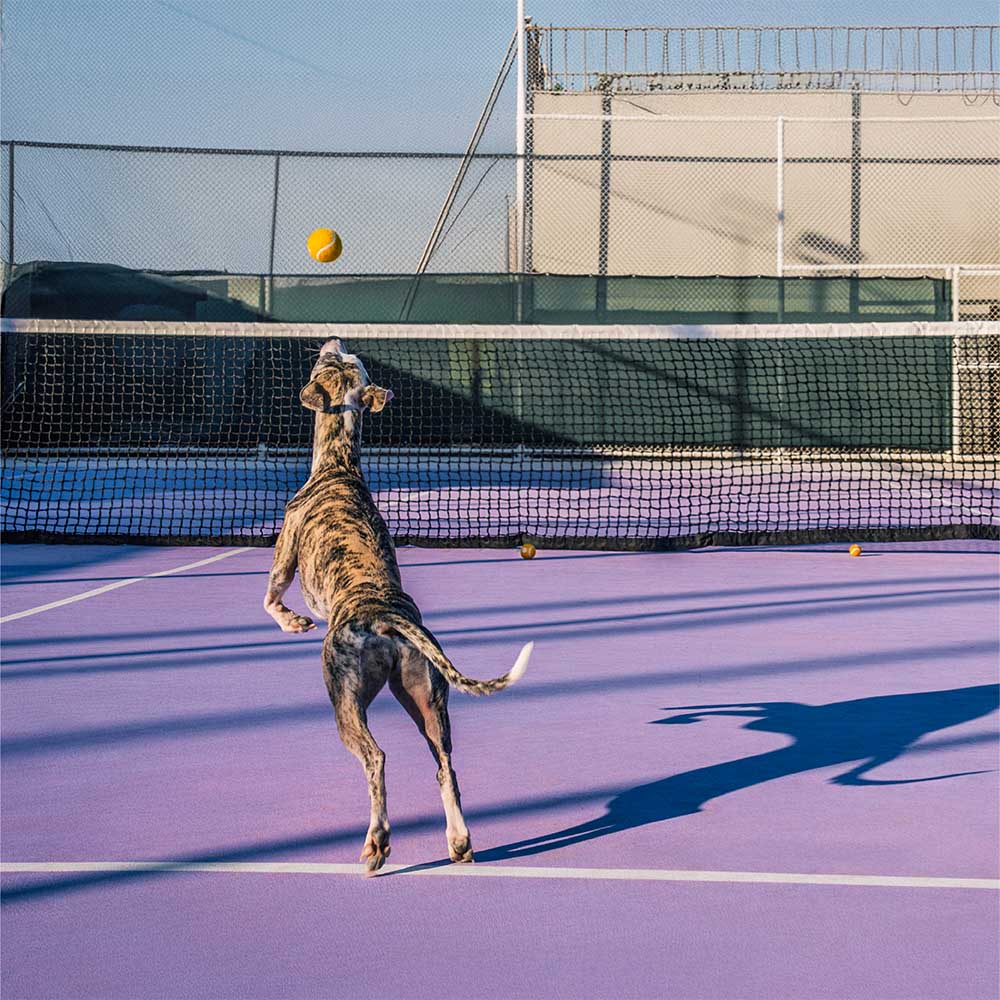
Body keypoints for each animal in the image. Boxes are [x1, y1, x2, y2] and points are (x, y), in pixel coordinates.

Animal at [264, 340, 532, 872]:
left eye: (331, 364)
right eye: (350, 365)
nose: (333, 341)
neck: (339, 465)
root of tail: (385, 616)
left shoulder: (285, 554)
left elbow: (270, 597)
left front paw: (292, 621)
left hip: (346, 701)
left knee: (376, 758)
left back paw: (378, 843)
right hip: (426, 699)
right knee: (445, 767)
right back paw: (458, 841)